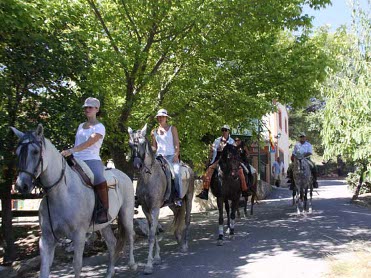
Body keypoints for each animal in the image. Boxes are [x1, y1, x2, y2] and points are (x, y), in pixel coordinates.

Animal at [11, 125, 137, 278]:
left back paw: (132, 264)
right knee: (112, 243)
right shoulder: (47, 239)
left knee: (130, 235)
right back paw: (109, 272)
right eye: (17, 152)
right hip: (105, 224)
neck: (61, 194)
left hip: (126, 215)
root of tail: (124, 176)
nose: (21, 185)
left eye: (35, 151)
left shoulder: (79, 236)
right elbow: (44, 269)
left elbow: (77, 265)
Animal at [129, 125, 195, 274]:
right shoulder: (146, 209)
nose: (136, 165)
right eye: (130, 144)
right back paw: (178, 239)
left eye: (142, 143)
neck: (149, 177)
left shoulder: (154, 208)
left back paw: (184, 245)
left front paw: (148, 265)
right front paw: (157, 258)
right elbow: (152, 232)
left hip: (189, 197)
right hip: (174, 204)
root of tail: (188, 168)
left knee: (187, 220)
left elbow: (152, 235)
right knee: (178, 215)